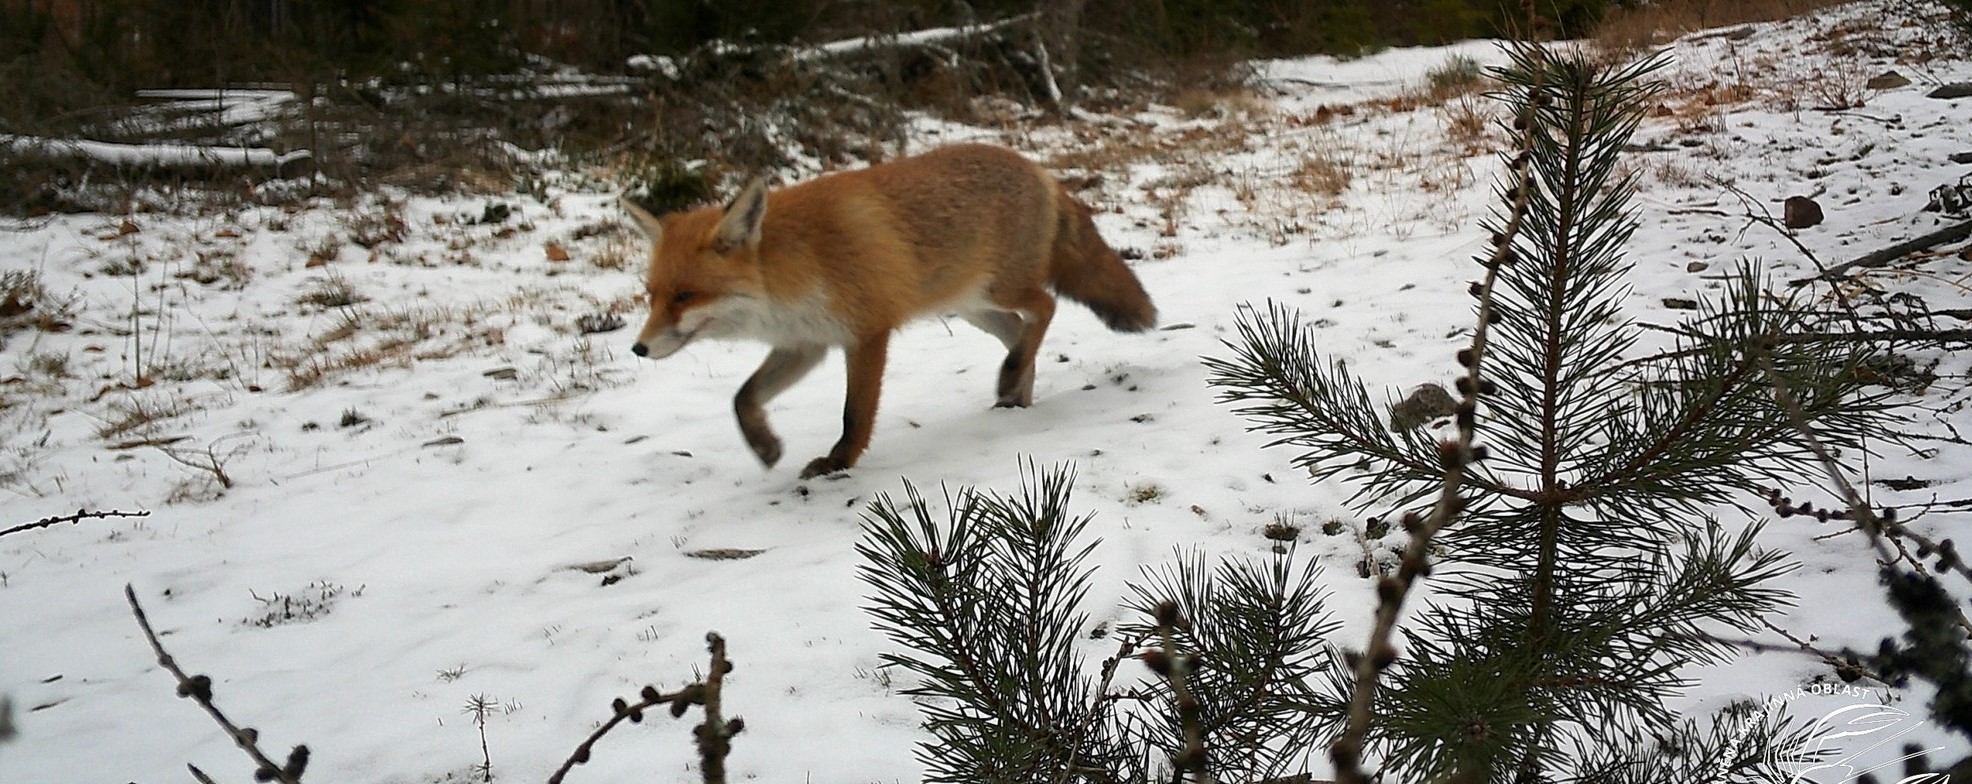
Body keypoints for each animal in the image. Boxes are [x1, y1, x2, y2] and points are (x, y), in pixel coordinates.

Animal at [627, 144, 1151, 480]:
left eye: (684, 296)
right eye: (652, 294)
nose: (638, 348)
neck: (793, 268)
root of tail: (1037, 168)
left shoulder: (866, 332)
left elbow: (855, 414)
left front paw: (838, 463)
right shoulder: (804, 344)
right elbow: (743, 399)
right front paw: (765, 445)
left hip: (999, 288)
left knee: (1045, 306)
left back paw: (1011, 381)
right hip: (973, 307)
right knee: (1021, 332)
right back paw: (1014, 396)